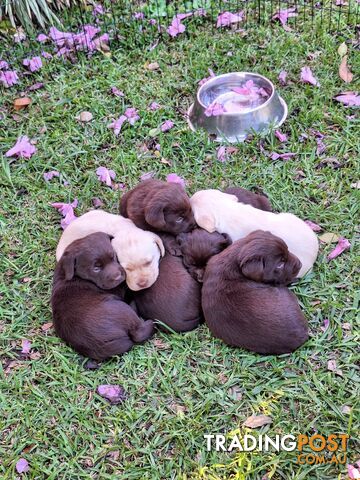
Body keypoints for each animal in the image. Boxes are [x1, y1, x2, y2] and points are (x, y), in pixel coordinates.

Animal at [51, 232, 153, 360]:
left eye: (113, 257)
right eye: (96, 268)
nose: (118, 276)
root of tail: (99, 345)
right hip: (120, 309)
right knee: (137, 333)